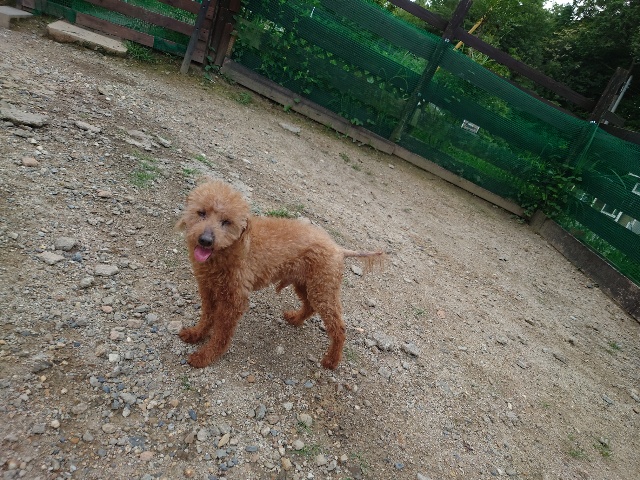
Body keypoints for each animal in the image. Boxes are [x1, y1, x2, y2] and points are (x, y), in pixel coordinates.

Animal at [176, 180, 385, 370]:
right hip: (305, 284)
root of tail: (338, 248)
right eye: (201, 213)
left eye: (226, 222)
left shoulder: (234, 300)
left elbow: (221, 334)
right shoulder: (208, 288)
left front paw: (205, 356)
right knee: (309, 306)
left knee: (339, 328)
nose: (205, 240)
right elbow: (207, 316)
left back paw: (331, 361)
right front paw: (195, 334)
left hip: (323, 289)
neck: (228, 251)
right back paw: (295, 319)